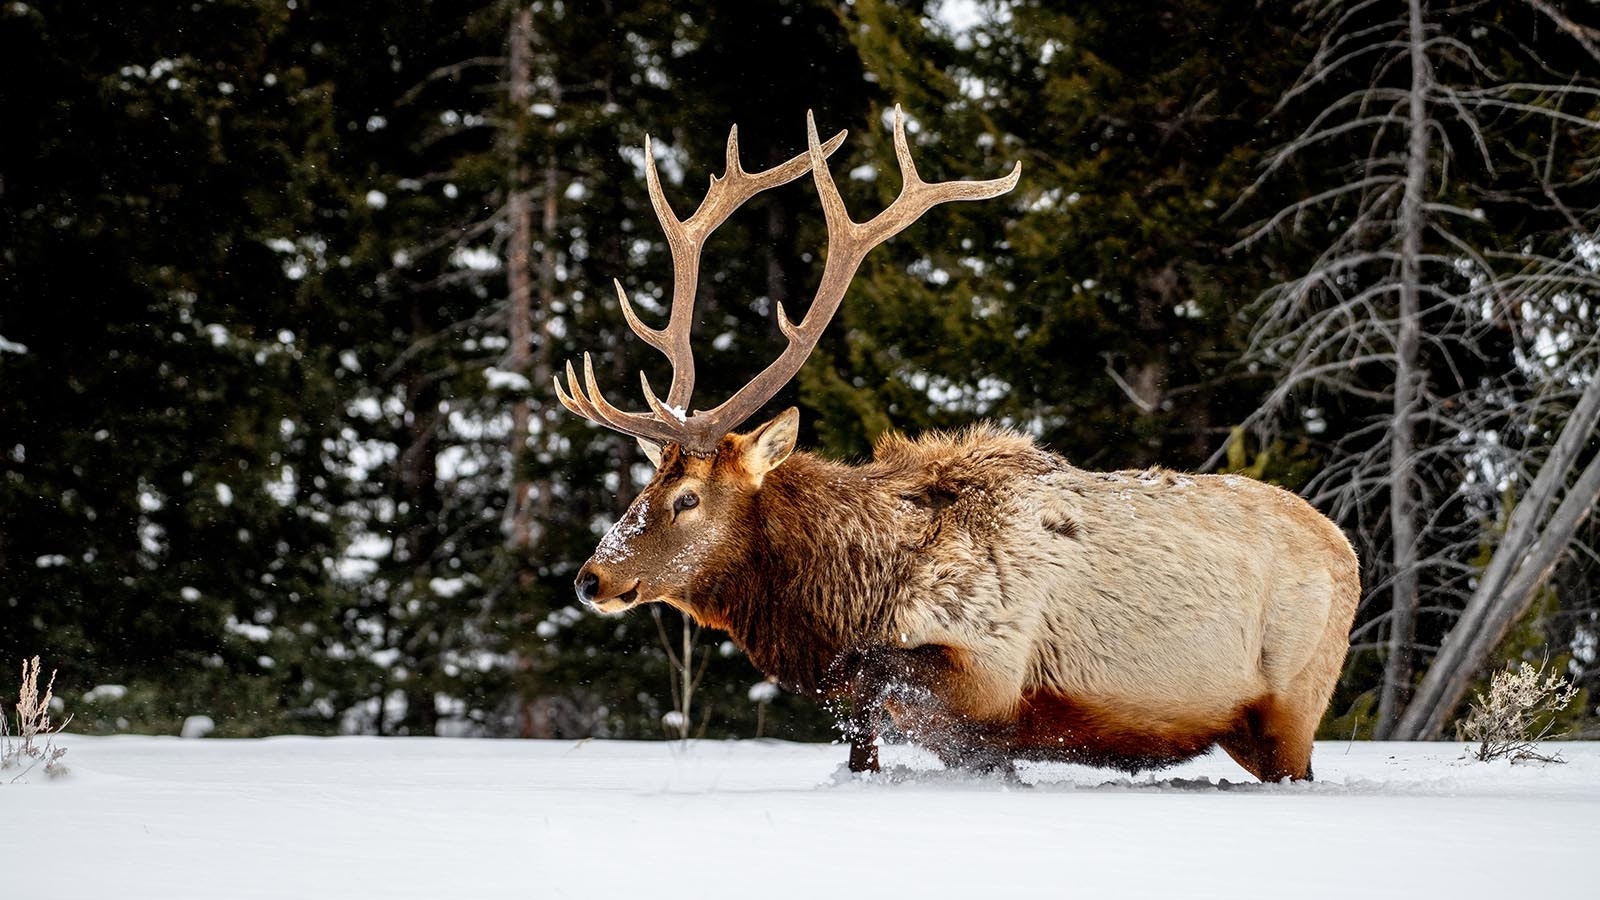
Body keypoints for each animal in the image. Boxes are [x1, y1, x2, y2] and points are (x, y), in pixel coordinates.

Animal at [556, 106, 1356, 778]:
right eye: (648, 484)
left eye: (688, 497)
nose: (591, 577)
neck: (858, 593)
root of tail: (1348, 550)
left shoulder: (992, 665)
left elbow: (868, 679)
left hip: (1294, 699)